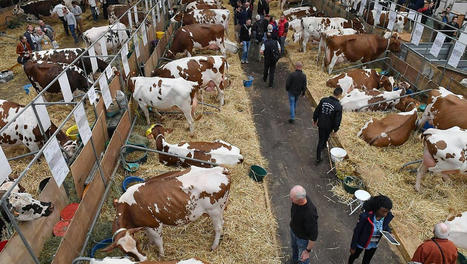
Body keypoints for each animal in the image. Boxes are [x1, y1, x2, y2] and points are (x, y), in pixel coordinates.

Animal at [103, 166, 232, 260]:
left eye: (137, 243)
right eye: (126, 252)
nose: (143, 259)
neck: (129, 208)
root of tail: (220, 170)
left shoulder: (155, 225)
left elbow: (159, 242)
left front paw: (161, 256)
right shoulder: (146, 225)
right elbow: (150, 237)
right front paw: (149, 244)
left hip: (214, 210)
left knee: (218, 227)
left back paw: (214, 246)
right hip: (220, 208)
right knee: (222, 221)